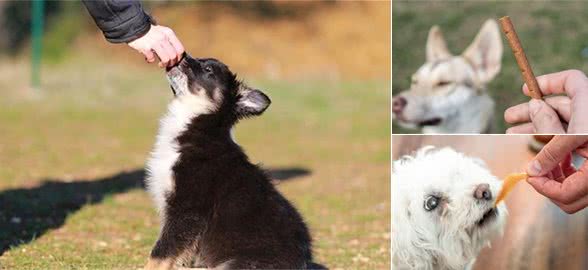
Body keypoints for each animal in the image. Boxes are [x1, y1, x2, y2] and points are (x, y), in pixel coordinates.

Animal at [144, 55, 316, 270]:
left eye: (208, 70)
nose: (181, 55)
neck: (199, 126)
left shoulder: (187, 210)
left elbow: (161, 252)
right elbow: (180, 252)